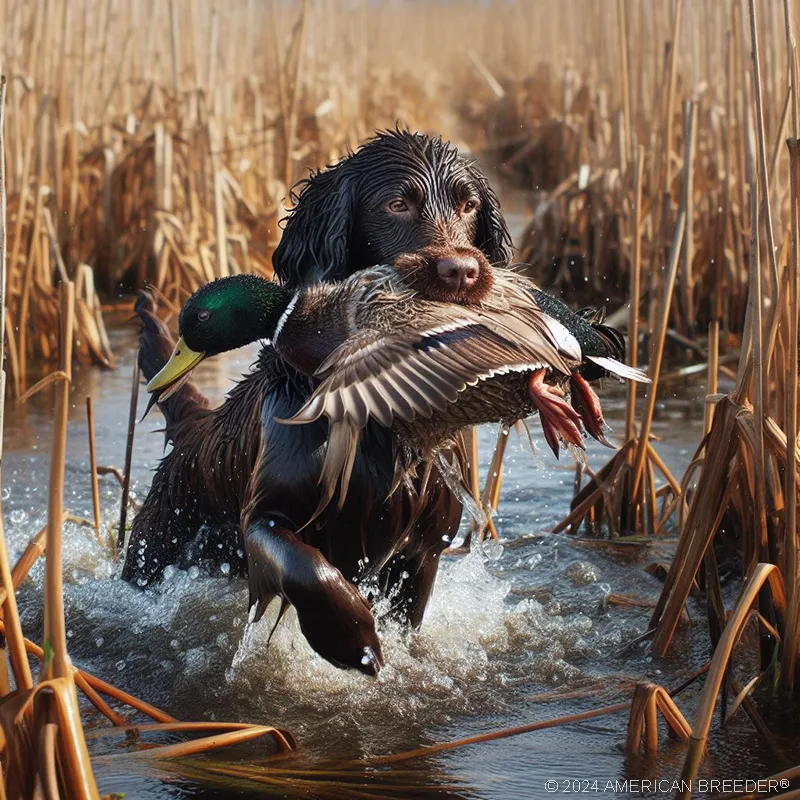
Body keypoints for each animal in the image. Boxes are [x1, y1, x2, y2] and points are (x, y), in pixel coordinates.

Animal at [125, 130, 512, 668]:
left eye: (469, 204)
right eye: (396, 204)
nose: (462, 272)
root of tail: (196, 428)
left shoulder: (423, 551)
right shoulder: (265, 517)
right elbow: (308, 567)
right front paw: (354, 638)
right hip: (154, 549)